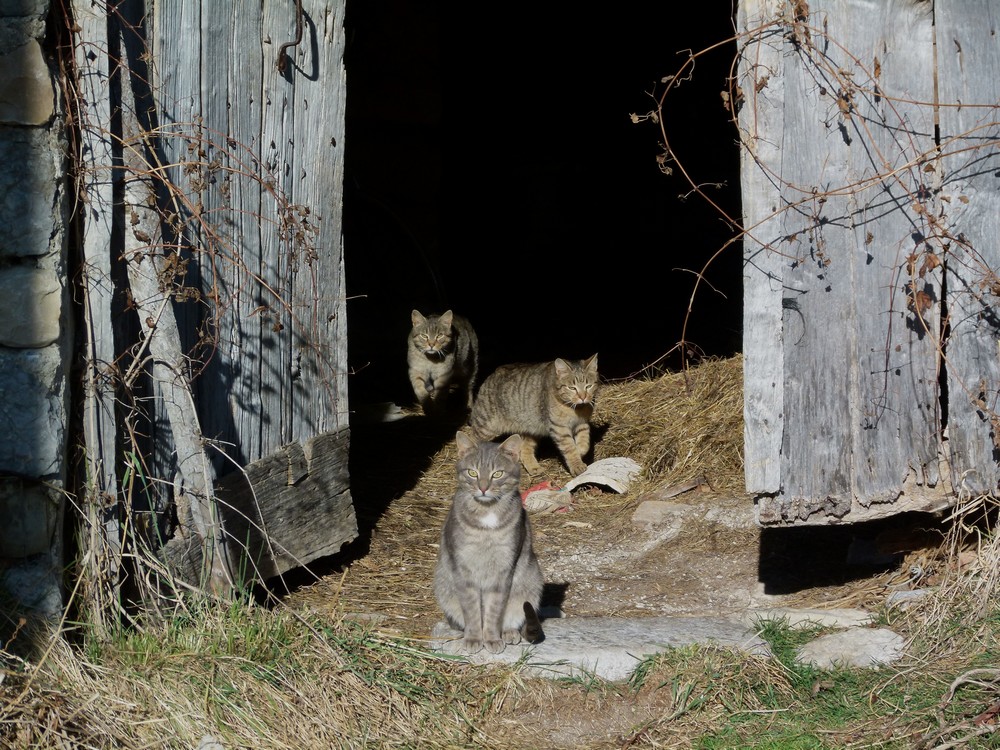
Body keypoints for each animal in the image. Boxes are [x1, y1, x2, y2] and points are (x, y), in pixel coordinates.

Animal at [434, 432, 544, 656]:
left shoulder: (503, 571)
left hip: (531, 583)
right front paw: (474, 638)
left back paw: (509, 632)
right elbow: (472, 611)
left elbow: (494, 610)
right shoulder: (463, 570)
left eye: (498, 474)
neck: (487, 516)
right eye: (472, 472)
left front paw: (492, 638)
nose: (483, 488)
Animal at [470, 356, 600, 478]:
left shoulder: (582, 424)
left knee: (524, 450)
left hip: (531, 429)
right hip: (485, 426)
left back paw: (533, 467)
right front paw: (576, 464)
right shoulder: (560, 428)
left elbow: (585, 443)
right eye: (572, 388)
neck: (577, 409)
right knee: (472, 438)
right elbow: (569, 448)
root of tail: (492, 374)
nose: (583, 397)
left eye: (588, 386)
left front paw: (580, 451)